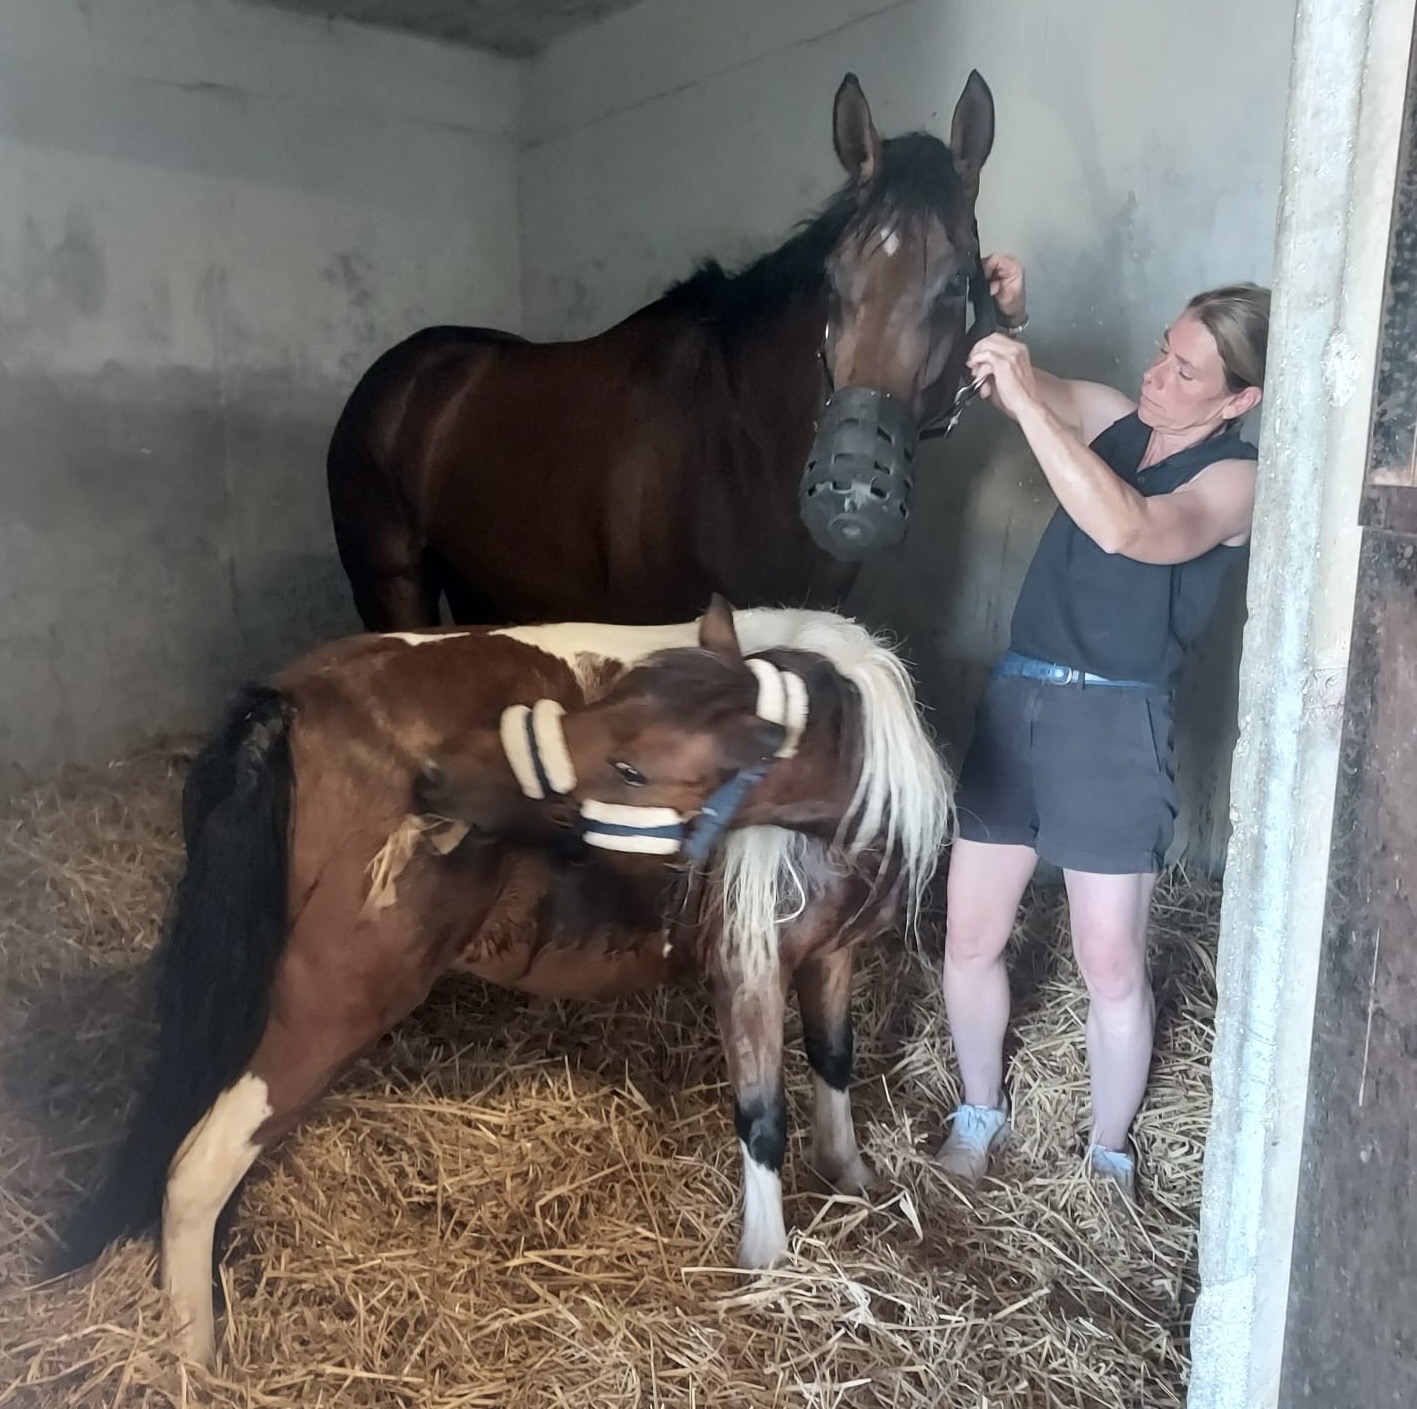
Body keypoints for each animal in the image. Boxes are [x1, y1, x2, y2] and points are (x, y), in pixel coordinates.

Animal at [56, 599, 952, 1367]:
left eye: (630, 766)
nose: (442, 780)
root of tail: (292, 701)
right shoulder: (749, 967)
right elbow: (760, 1118)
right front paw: (765, 1267)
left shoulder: (830, 954)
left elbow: (833, 1059)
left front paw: (851, 1175)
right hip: (327, 1004)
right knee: (195, 1170)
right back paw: (193, 1359)